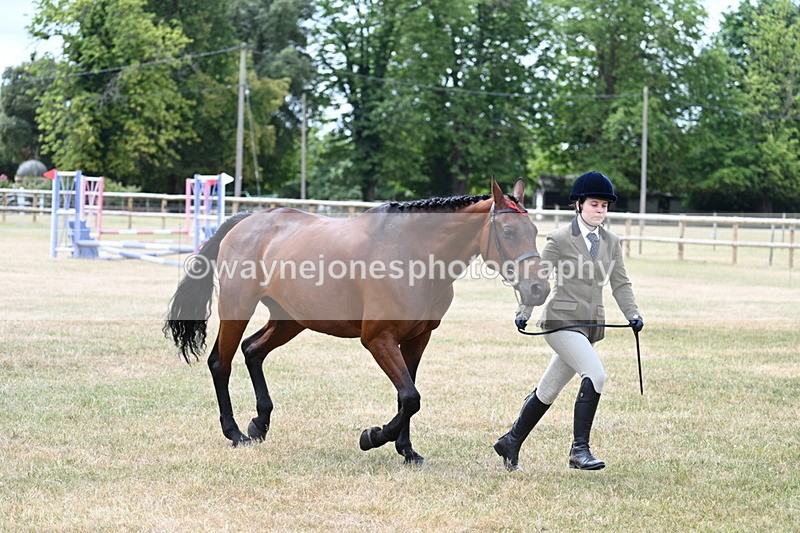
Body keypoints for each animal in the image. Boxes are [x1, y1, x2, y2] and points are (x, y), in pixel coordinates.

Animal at [163, 178, 549, 464]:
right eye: (509, 232)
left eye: (534, 230)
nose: (538, 288)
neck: (414, 252)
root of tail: (247, 220)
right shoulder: (378, 339)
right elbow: (410, 396)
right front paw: (373, 437)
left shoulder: (417, 339)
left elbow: (407, 395)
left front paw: (407, 450)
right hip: (238, 306)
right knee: (221, 362)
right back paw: (235, 433)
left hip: (291, 318)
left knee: (253, 350)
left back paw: (260, 423)